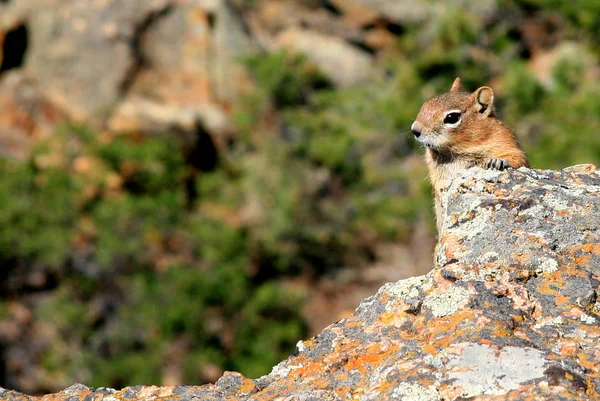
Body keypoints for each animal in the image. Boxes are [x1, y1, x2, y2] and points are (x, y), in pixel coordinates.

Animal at [410, 77, 528, 231]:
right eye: (425, 105)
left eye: (452, 117)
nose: (415, 130)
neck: (456, 152)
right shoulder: (434, 168)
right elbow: (438, 183)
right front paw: (443, 191)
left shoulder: (506, 143)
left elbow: (518, 159)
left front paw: (498, 162)